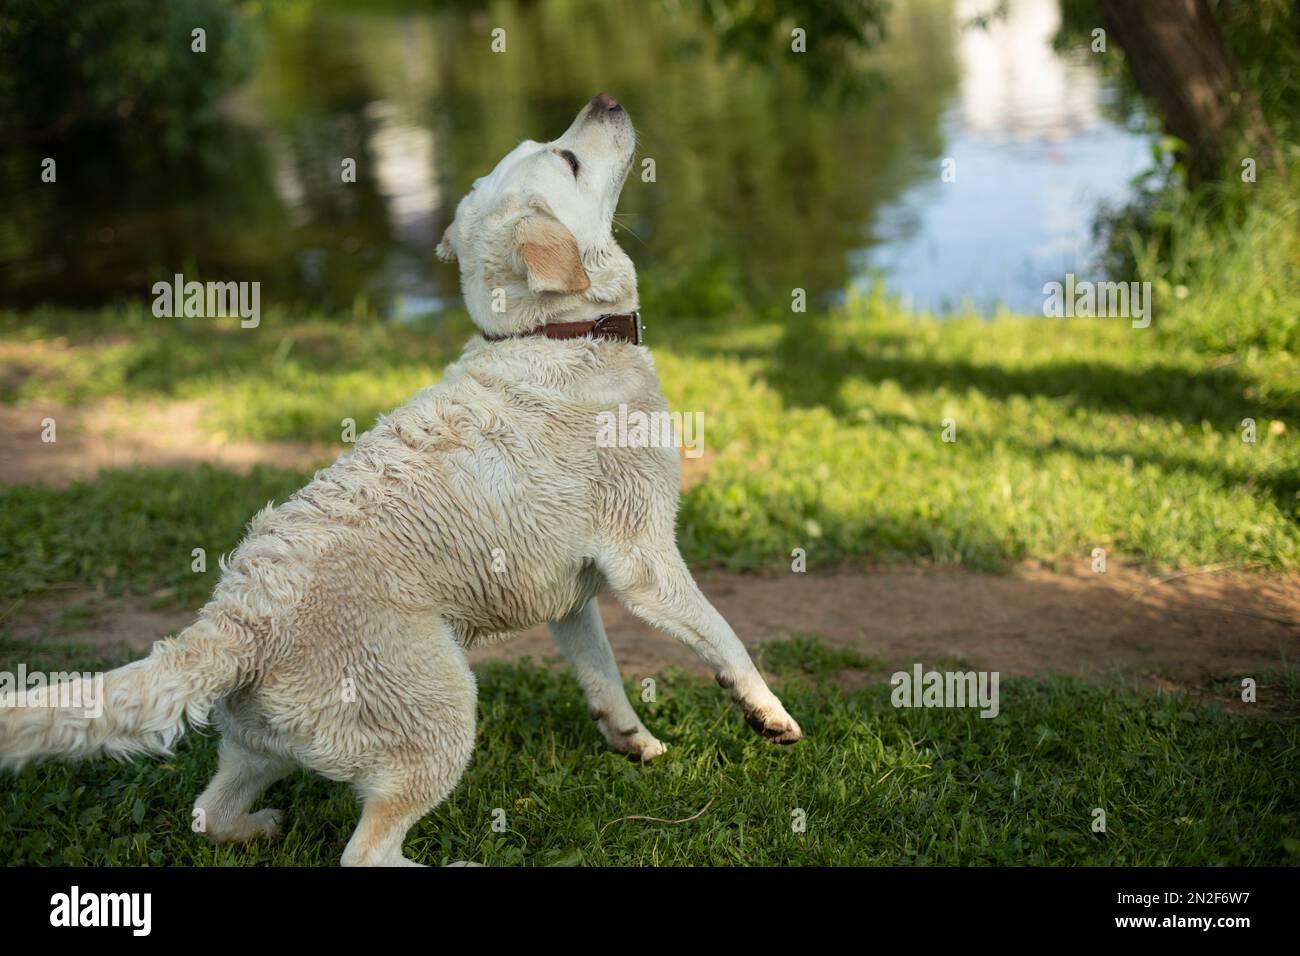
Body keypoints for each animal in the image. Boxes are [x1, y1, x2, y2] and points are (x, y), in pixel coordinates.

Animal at [0, 95, 800, 868]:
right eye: (568, 158)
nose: (605, 99)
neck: (553, 334)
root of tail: (238, 616)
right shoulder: (645, 562)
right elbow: (725, 638)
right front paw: (767, 713)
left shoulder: (571, 597)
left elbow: (601, 673)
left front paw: (632, 740)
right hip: (439, 707)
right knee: (365, 853)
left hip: (266, 743)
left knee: (212, 815)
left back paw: (259, 826)